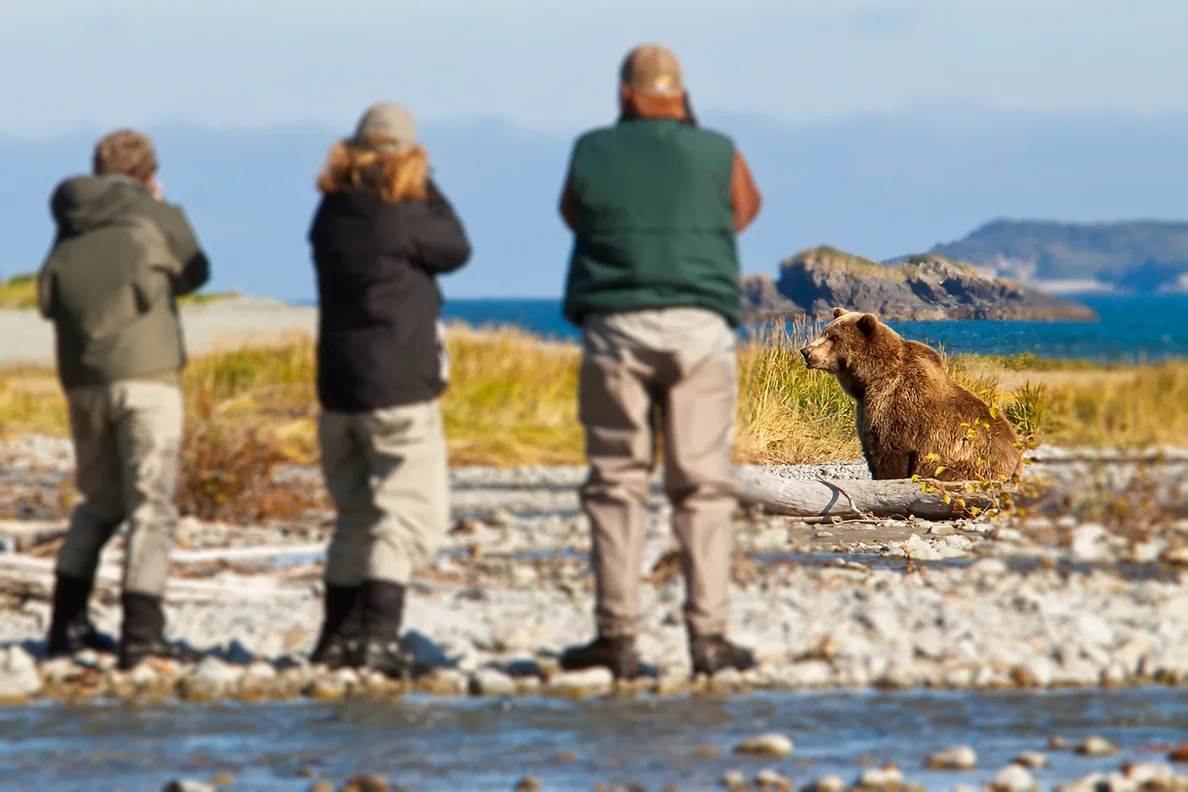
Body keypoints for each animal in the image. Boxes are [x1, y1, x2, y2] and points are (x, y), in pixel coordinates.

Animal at [800, 307, 1023, 482]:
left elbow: (890, 454)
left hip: (968, 464)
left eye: (833, 337)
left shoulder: (895, 407)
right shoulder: (865, 408)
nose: (806, 351)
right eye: (824, 331)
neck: (869, 380)